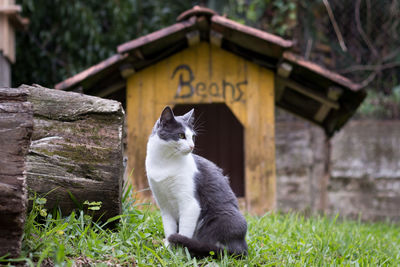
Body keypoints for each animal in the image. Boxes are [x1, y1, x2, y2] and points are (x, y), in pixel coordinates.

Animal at [145, 106, 248, 258]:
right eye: (181, 135)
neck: (164, 163)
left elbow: (184, 232)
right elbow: (169, 229)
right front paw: (168, 249)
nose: (192, 146)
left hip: (225, 217)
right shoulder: (164, 206)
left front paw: (180, 254)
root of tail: (243, 246)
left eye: (193, 137)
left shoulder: (190, 205)